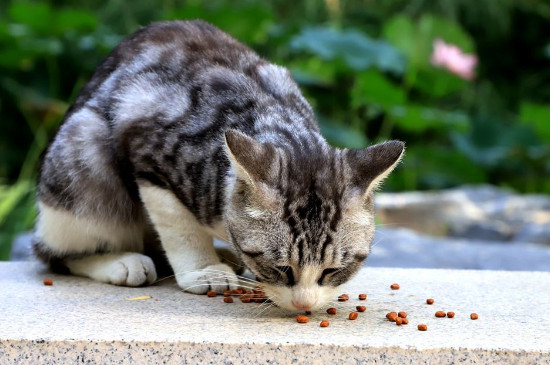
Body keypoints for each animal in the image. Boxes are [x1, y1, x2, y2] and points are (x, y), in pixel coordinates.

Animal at [34, 19, 406, 310]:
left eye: (331, 271)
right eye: (281, 268)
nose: (303, 304)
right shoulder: (149, 155)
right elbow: (180, 228)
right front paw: (203, 270)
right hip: (83, 150)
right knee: (54, 253)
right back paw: (121, 261)